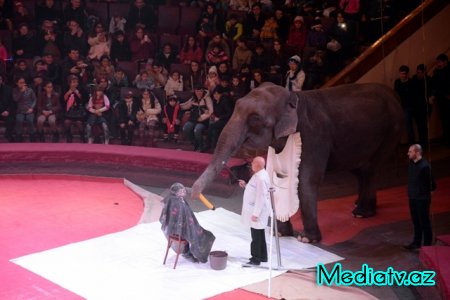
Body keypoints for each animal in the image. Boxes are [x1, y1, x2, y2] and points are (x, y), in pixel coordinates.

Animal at [192, 83, 402, 243]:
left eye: (255, 119)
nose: (210, 206)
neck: (293, 97)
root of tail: (394, 95)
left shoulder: (314, 136)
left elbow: (307, 180)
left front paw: (305, 239)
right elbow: (274, 178)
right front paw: (279, 233)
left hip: (392, 130)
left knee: (370, 169)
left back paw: (362, 213)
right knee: (359, 170)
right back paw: (358, 205)